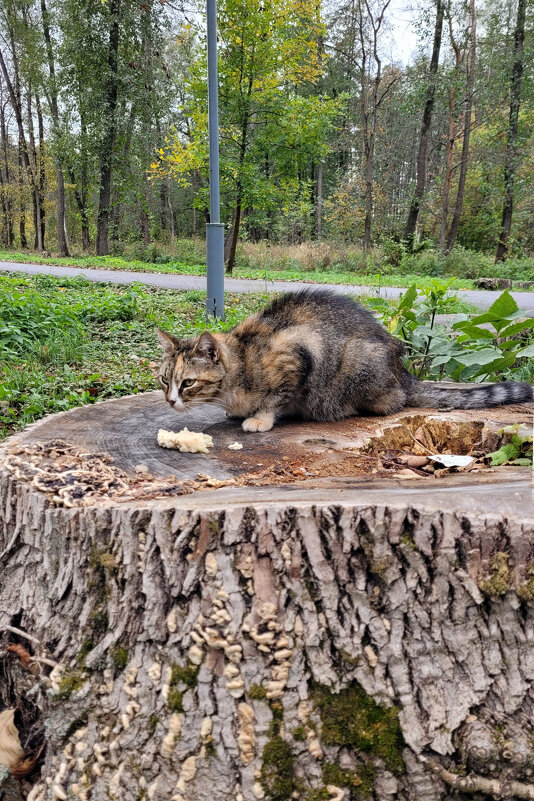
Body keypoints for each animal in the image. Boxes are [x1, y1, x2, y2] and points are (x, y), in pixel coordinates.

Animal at [154, 290, 532, 432]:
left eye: (187, 382)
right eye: (163, 380)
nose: (170, 400)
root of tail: (402, 372)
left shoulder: (297, 352)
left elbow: (276, 397)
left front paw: (260, 418)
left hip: (358, 361)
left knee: (392, 402)